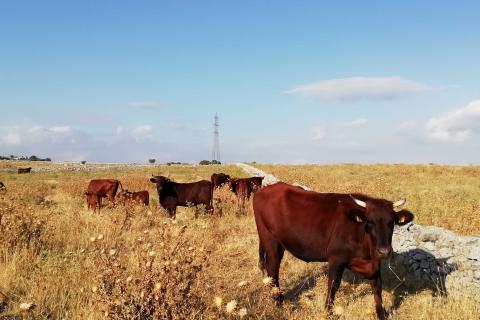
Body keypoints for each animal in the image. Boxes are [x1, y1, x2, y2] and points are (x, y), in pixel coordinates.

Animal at [253, 182, 414, 320]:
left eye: (391, 222)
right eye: (370, 222)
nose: (384, 251)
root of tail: (267, 188)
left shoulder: (372, 264)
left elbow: (377, 287)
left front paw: (382, 314)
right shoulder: (336, 259)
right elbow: (333, 286)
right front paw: (327, 312)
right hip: (270, 240)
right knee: (273, 268)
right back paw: (278, 301)